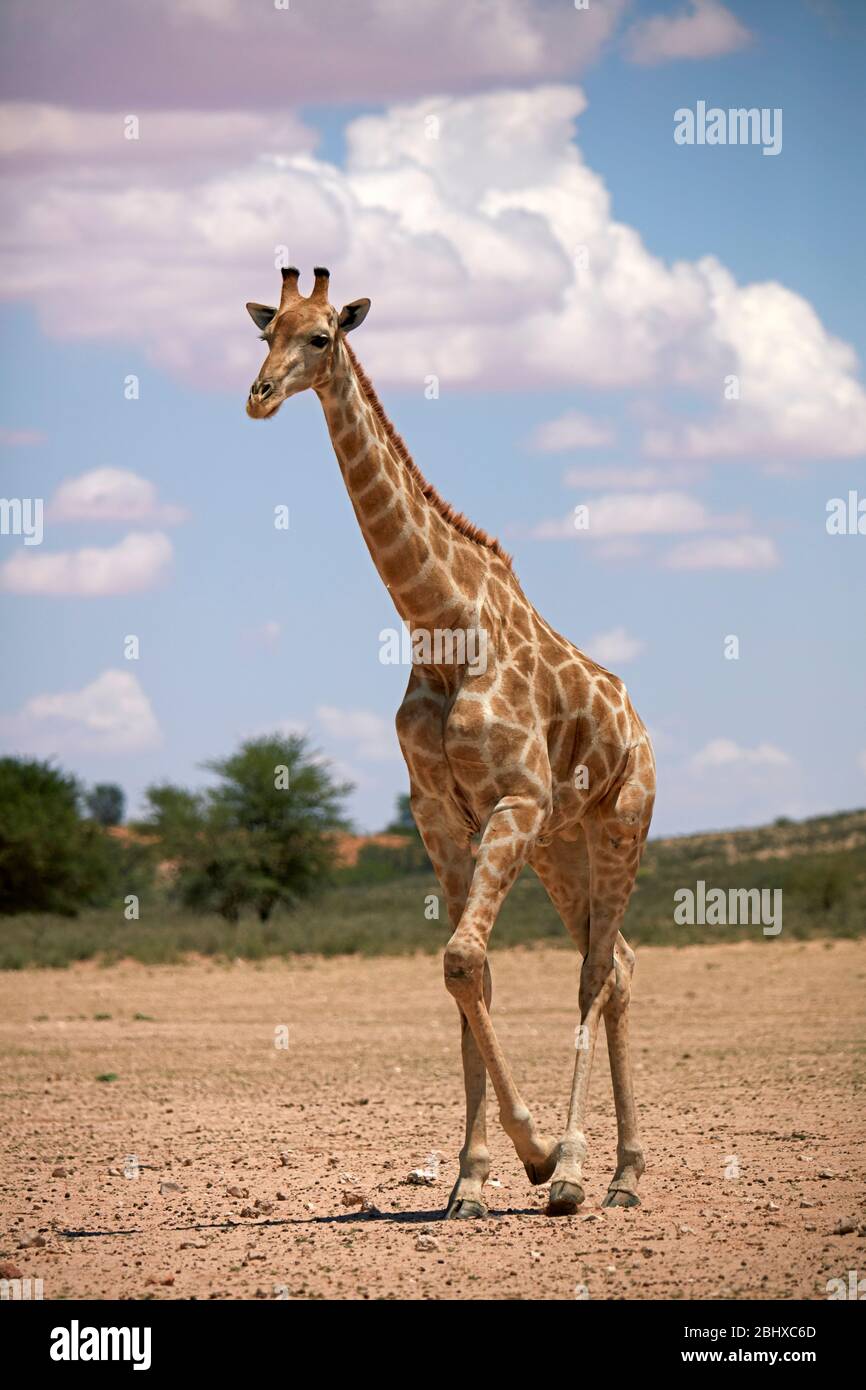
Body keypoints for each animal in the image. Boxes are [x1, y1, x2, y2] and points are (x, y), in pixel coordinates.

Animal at [247, 261, 653, 1217]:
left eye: (322, 335)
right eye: (264, 331)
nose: (260, 395)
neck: (440, 623)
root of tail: (640, 723)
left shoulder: (513, 798)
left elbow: (465, 958)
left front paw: (538, 1156)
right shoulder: (440, 813)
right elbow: (469, 973)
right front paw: (469, 1178)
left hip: (619, 823)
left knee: (597, 969)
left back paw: (579, 1169)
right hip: (561, 845)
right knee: (616, 961)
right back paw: (624, 1173)